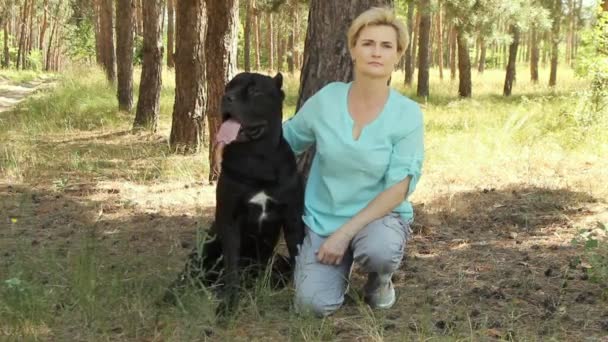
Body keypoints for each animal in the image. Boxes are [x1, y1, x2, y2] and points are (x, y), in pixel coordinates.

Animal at [165, 73, 304, 316]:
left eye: (255, 91)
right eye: (228, 87)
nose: (226, 98)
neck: (256, 158)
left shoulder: (292, 218)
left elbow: (297, 258)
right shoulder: (229, 219)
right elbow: (232, 268)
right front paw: (229, 305)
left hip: (274, 261)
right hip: (206, 246)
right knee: (190, 273)